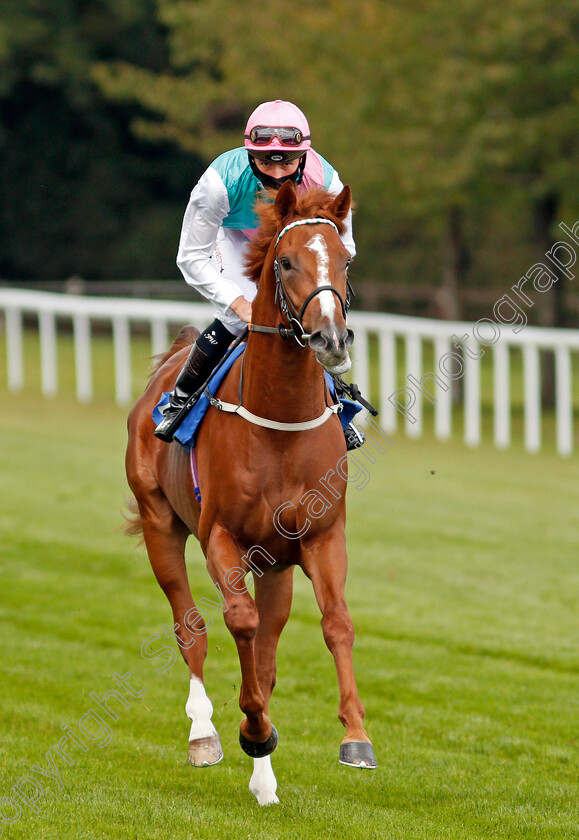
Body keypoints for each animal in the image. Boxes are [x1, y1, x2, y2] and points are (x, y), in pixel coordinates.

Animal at [125, 180, 378, 804]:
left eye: (345, 260)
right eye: (285, 262)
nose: (331, 338)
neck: (279, 422)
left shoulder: (321, 535)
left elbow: (335, 623)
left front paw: (355, 737)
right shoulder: (222, 535)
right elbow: (238, 622)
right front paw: (253, 730)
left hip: (276, 563)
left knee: (267, 648)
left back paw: (263, 777)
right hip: (160, 522)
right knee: (190, 627)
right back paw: (207, 734)